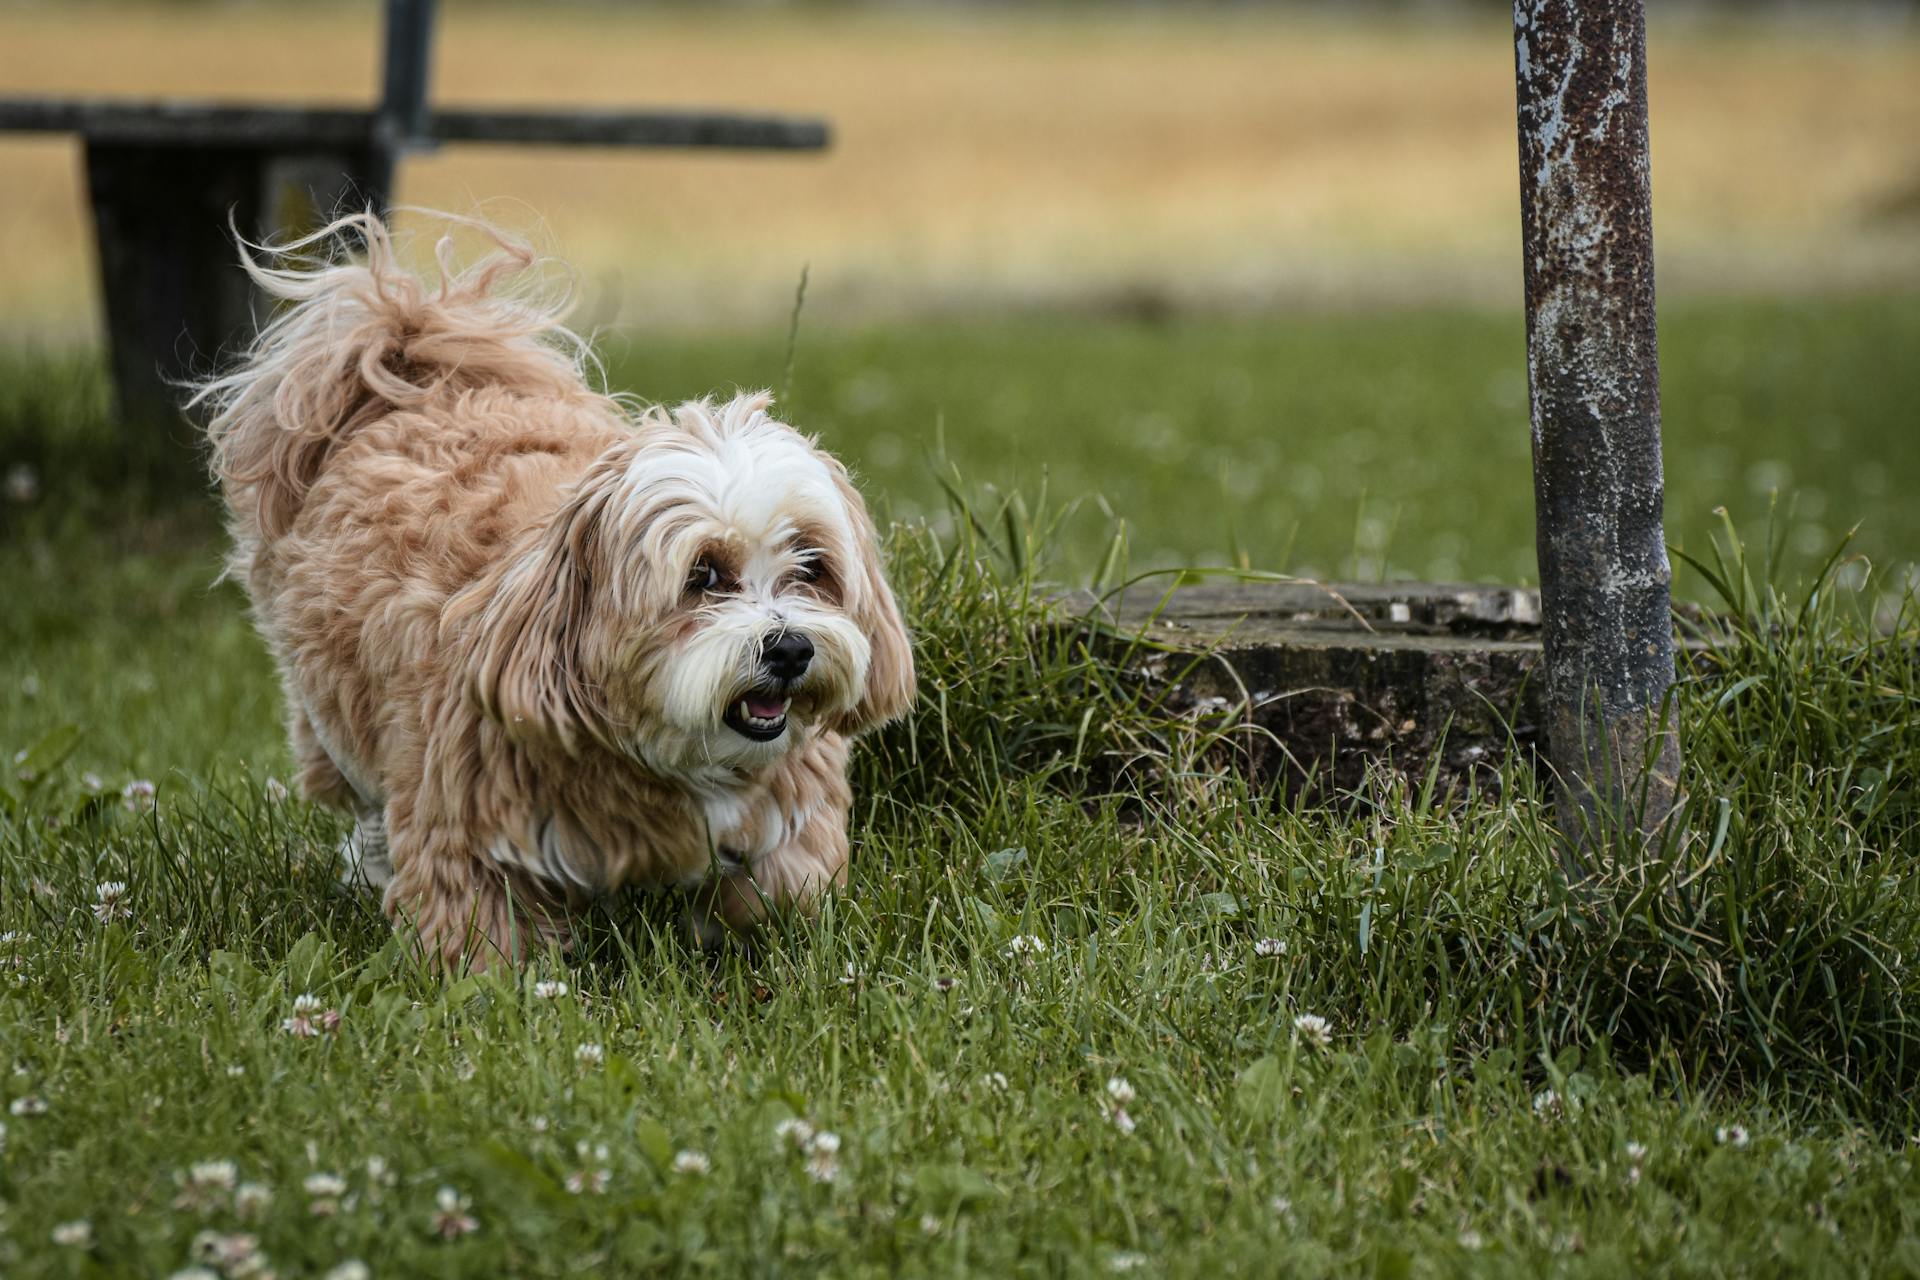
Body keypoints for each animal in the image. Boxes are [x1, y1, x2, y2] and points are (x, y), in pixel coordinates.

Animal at [194, 213, 913, 971]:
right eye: (704, 575)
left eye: (811, 566)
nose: (791, 649)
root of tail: (413, 359)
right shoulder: (467, 817)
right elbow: (480, 930)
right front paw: (490, 980)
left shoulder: (790, 803)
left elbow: (782, 886)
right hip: (332, 711)